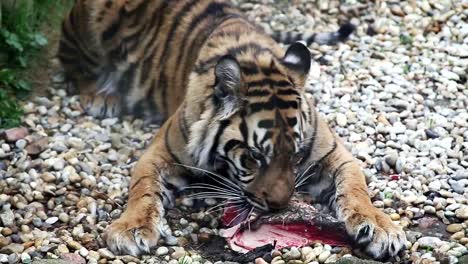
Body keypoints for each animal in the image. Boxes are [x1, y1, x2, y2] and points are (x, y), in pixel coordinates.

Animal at [58, 0, 408, 260]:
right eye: (254, 158)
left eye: (295, 158)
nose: (279, 207)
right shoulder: (160, 152)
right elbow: (142, 190)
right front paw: (131, 229)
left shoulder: (334, 154)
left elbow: (356, 187)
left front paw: (379, 227)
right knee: (75, 67)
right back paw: (101, 97)